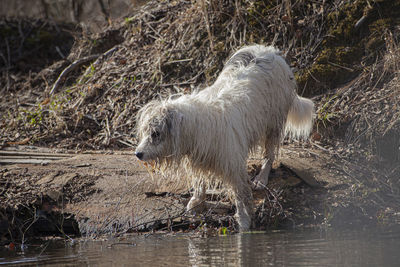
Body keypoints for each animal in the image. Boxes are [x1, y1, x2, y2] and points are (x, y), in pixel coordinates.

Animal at [136, 45, 314, 231]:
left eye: (155, 133)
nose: (138, 154)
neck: (197, 126)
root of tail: (270, 51)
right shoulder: (199, 157)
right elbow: (200, 183)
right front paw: (197, 202)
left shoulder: (232, 164)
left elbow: (240, 193)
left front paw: (244, 220)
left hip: (273, 121)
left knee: (269, 154)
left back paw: (261, 178)